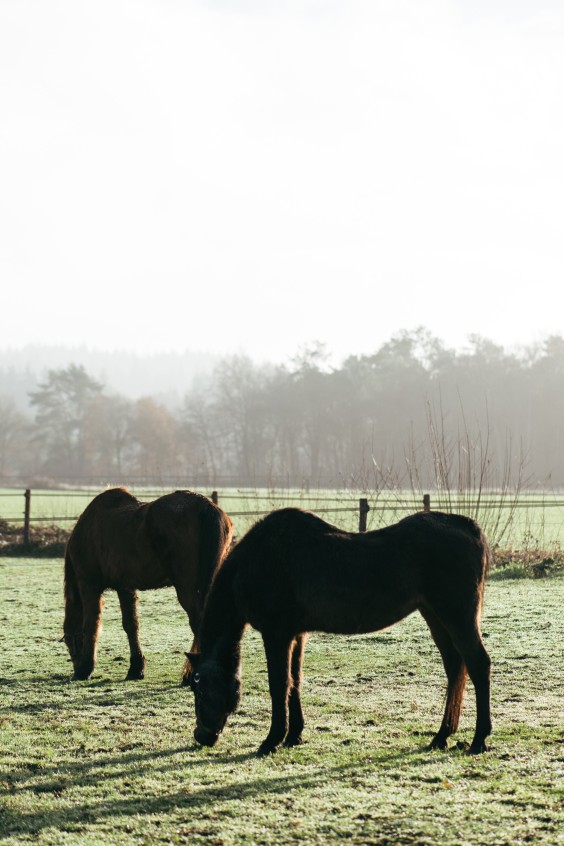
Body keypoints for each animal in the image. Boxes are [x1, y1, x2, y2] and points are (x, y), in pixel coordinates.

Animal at [64, 487, 233, 682]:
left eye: (70, 642)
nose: (75, 666)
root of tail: (205, 506)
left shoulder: (89, 586)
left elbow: (91, 625)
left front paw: (85, 669)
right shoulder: (125, 587)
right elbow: (131, 625)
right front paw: (136, 668)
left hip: (186, 589)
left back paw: (191, 675)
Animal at [187, 508, 492, 756]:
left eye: (199, 689)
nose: (202, 736)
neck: (258, 560)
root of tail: (468, 527)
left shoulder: (277, 635)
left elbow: (279, 685)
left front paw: (272, 740)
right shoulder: (297, 635)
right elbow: (295, 681)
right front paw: (294, 735)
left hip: (456, 617)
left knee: (478, 665)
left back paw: (479, 739)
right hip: (436, 617)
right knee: (455, 667)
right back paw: (442, 736)